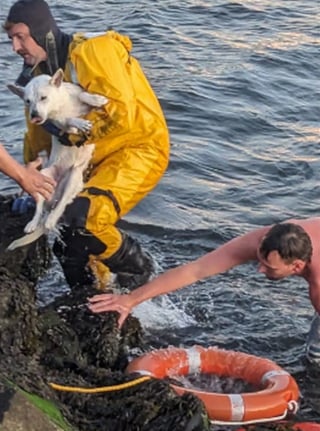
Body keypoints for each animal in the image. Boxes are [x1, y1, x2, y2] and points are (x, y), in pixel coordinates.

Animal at [6, 67, 107, 250]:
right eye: (27, 101)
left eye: (43, 97)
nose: (34, 115)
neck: (61, 106)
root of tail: (54, 196)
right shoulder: (57, 123)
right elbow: (66, 121)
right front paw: (78, 123)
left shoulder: (82, 102)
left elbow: (83, 95)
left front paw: (96, 99)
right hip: (42, 177)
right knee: (42, 208)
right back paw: (36, 223)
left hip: (74, 175)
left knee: (61, 204)